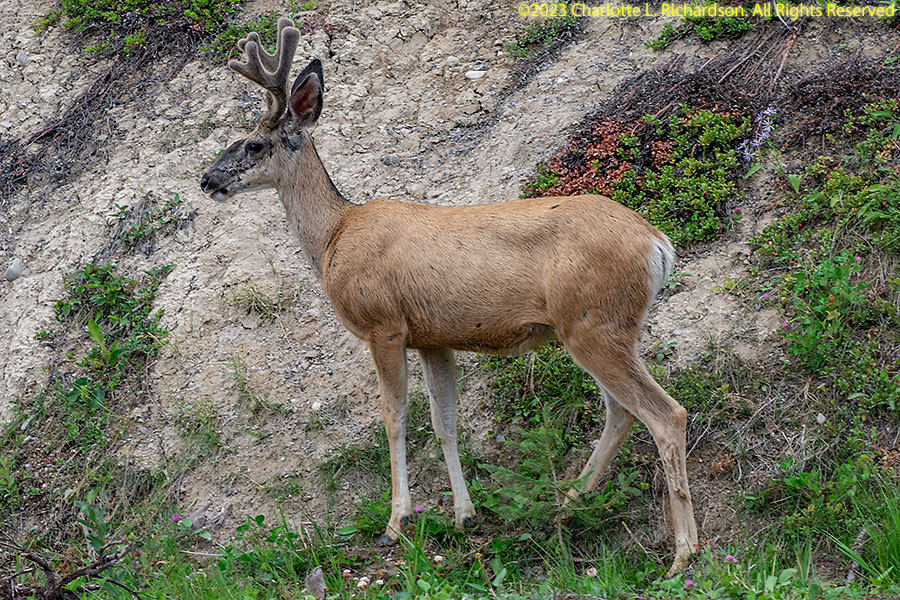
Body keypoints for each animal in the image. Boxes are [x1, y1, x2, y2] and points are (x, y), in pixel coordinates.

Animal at [199, 18, 699, 575]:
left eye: (253, 144)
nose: (206, 179)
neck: (333, 236)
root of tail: (658, 244)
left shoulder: (384, 325)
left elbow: (395, 419)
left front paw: (396, 523)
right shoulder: (433, 337)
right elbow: (445, 422)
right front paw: (464, 514)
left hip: (593, 324)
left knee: (665, 414)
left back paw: (683, 553)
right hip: (603, 327)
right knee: (622, 412)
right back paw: (565, 506)